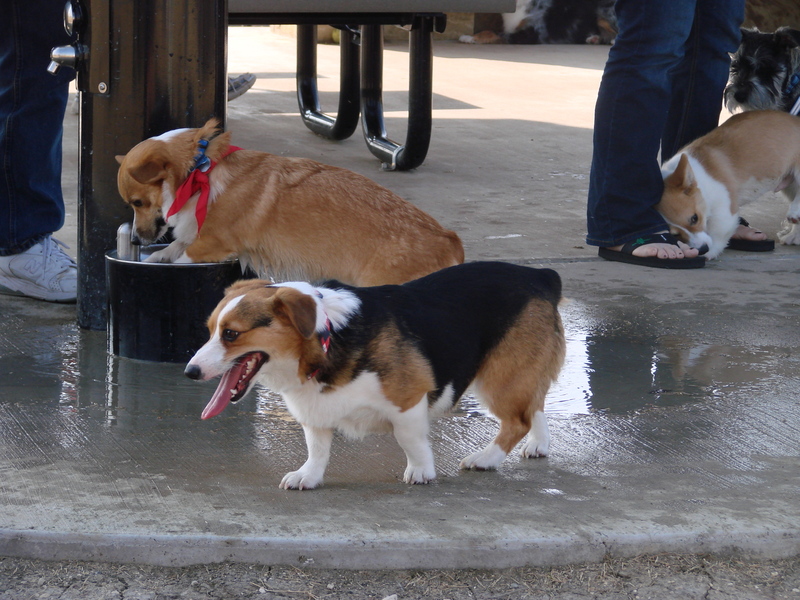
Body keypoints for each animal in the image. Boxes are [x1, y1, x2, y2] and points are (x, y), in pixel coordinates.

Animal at [184, 262, 564, 488]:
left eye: (231, 334)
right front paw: (308, 476)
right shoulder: (315, 412)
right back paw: (539, 444)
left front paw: (421, 472)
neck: (327, 337)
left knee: (517, 420)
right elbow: (316, 448)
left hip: (501, 379)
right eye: (209, 330)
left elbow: (409, 440)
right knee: (534, 406)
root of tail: (539, 274)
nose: (190, 371)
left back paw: (485, 458)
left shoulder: (407, 401)